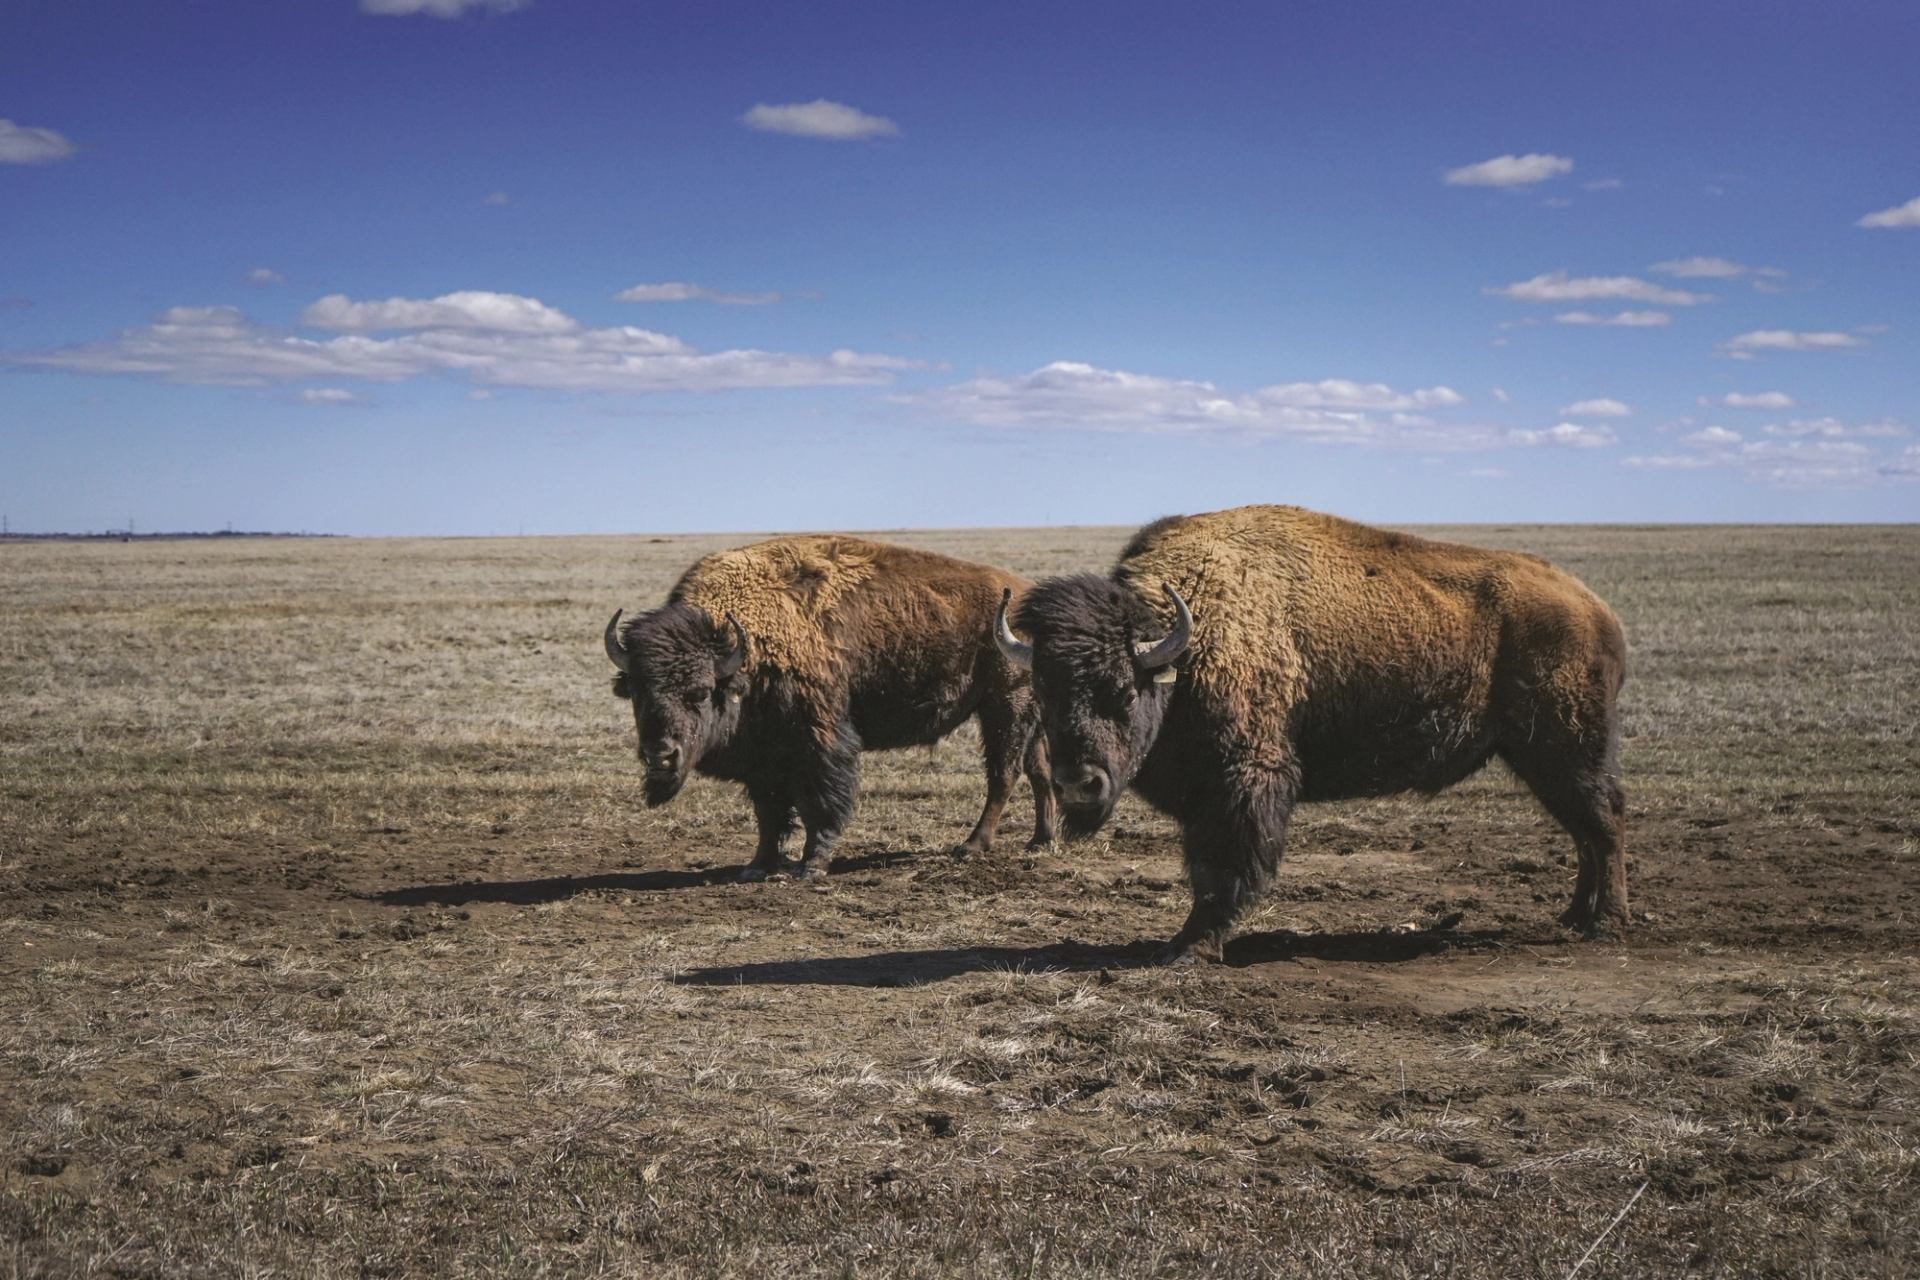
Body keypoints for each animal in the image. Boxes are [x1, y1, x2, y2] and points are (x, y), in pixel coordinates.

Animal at [607, 535, 1055, 879]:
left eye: (700, 692)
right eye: (638, 692)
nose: (660, 754)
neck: (746, 647)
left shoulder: (819, 742)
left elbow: (819, 804)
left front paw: (812, 866)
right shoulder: (763, 759)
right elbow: (768, 813)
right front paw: (757, 866)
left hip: (1005, 706)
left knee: (1004, 774)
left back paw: (972, 845)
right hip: (1025, 714)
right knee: (1039, 771)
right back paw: (1040, 841)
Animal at [996, 504, 1629, 963]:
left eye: (1126, 692)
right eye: (1045, 693)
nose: (1078, 783)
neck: (1190, 641)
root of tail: (1598, 611)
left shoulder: (1242, 783)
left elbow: (1222, 869)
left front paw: (1191, 947)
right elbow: (1204, 868)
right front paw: (1186, 942)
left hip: (1565, 750)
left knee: (1604, 821)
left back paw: (1607, 923)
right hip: (1541, 757)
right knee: (1585, 828)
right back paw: (1575, 916)